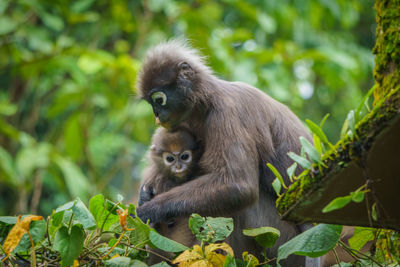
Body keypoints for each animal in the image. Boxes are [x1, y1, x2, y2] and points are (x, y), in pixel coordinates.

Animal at [138, 40, 318, 267]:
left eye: (158, 100)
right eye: (150, 103)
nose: (157, 114)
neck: (207, 101)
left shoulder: (228, 112)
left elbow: (238, 186)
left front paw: (148, 209)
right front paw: (144, 198)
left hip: (282, 244)